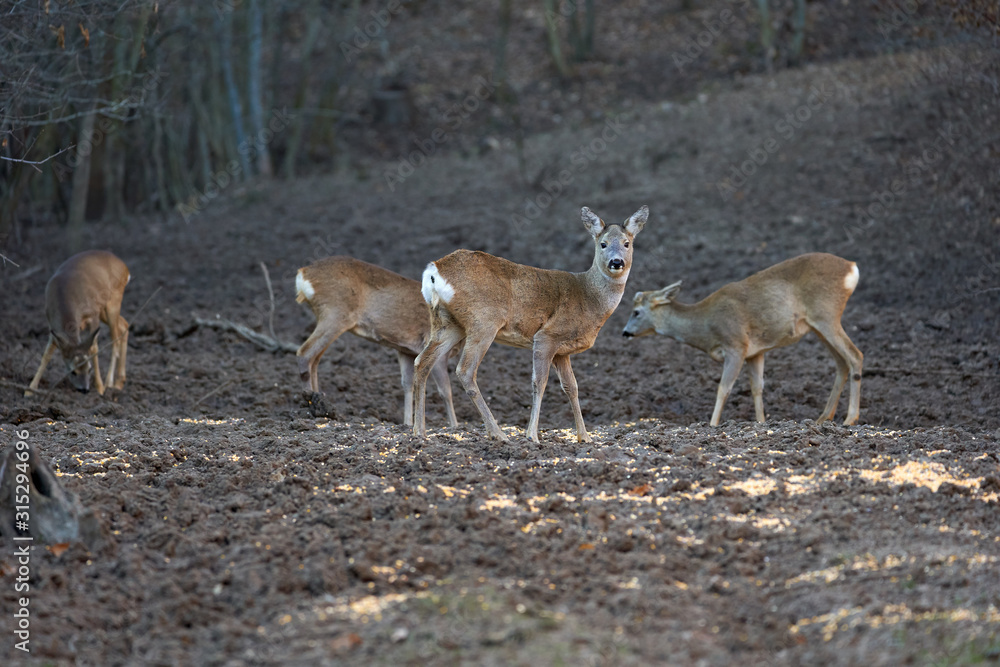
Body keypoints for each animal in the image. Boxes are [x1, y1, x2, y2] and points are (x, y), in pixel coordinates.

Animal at [25, 250, 130, 397]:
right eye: (72, 371)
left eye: (89, 368)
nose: (84, 389)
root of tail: (125, 267)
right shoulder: (53, 326)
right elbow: (47, 354)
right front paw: (30, 389)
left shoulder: (93, 314)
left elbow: (94, 348)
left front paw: (100, 388)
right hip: (105, 309)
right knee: (124, 324)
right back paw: (119, 382)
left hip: (113, 300)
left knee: (115, 339)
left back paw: (109, 383)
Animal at [295, 256, 458, 428]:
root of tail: (303, 273)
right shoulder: (435, 346)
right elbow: (446, 391)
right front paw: (455, 425)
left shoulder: (406, 350)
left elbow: (408, 385)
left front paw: (407, 423)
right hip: (335, 314)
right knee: (304, 352)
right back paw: (310, 405)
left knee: (315, 359)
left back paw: (319, 400)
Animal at [412, 205, 649, 443]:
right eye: (603, 244)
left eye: (627, 243)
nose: (616, 262)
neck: (589, 297)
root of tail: (434, 271)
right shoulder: (547, 335)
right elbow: (539, 382)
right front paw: (532, 435)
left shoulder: (563, 351)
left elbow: (571, 387)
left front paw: (585, 437)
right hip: (484, 320)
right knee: (465, 371)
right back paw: (498, 433)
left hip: (447, 323)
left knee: (422, 361)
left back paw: (419, 432)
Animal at [622, 252, 863, 426]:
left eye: (636, 312)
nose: (625, 332)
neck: (705, 325)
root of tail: (852, 268)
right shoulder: (755, 352)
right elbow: (757, 387)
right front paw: (761, 423)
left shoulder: (736, 345)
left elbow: (723, 388)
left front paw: (712, 425)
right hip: (818, 325)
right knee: (841, 362)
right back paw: (824, 418)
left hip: (827, 314)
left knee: (855, 355)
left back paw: (850, 419)